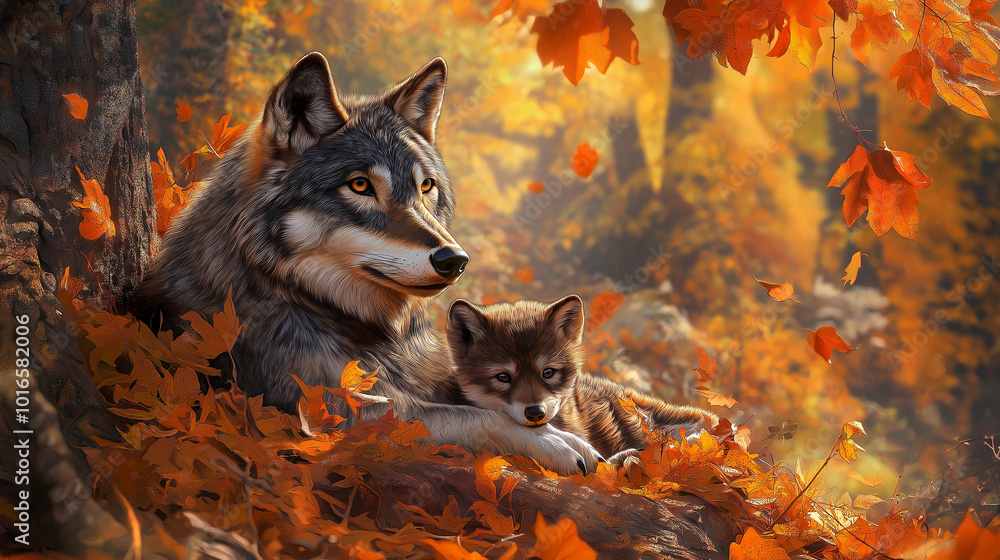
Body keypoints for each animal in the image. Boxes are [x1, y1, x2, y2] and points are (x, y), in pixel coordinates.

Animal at [132, 52, 601, 475]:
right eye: (359, 185)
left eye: (425, 186)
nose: (455, 259)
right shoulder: (339, 411)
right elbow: (476, 415)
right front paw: (557, 443)